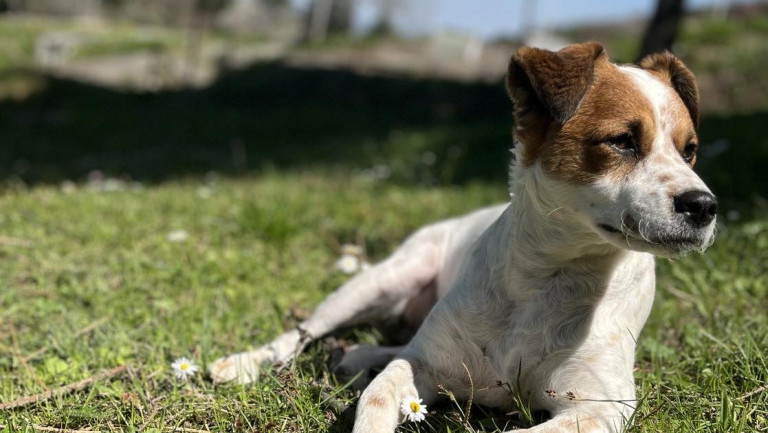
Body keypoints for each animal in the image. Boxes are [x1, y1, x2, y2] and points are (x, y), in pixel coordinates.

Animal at [207, 41, 716, 432]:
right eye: (622, 141)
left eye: (689, 151)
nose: (704, 206)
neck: (546, 278)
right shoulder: (422, 365)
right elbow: (376, 397)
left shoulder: (597, 409)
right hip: (378, 282)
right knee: (303, 333)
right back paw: (244, 362)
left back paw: (356, 355)